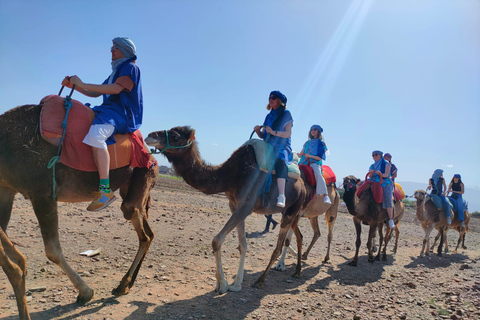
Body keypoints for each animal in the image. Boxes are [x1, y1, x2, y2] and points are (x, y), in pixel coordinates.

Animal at [0, 104, 160, 318]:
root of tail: (151, 154)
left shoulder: (42, 194)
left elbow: (52, 251)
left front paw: (86, 293)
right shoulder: (6, 189)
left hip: (141, 180)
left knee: (143, 230)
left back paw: (122, 285)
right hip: (131, 190)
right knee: (147, 234)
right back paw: (124, 286)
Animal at [144, 126, 306, 294]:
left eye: (175, 136)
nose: (150, 135)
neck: (231, 175)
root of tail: (303, 185)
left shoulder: (246, 204)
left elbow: (216, 240)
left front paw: (222, 283)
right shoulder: (234, 204)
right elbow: (243, 245)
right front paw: (236, 284)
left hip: (292, 210)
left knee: (280, 246)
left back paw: (261, 280)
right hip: (289, 212)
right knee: (297, 237)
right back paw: (297, 270)